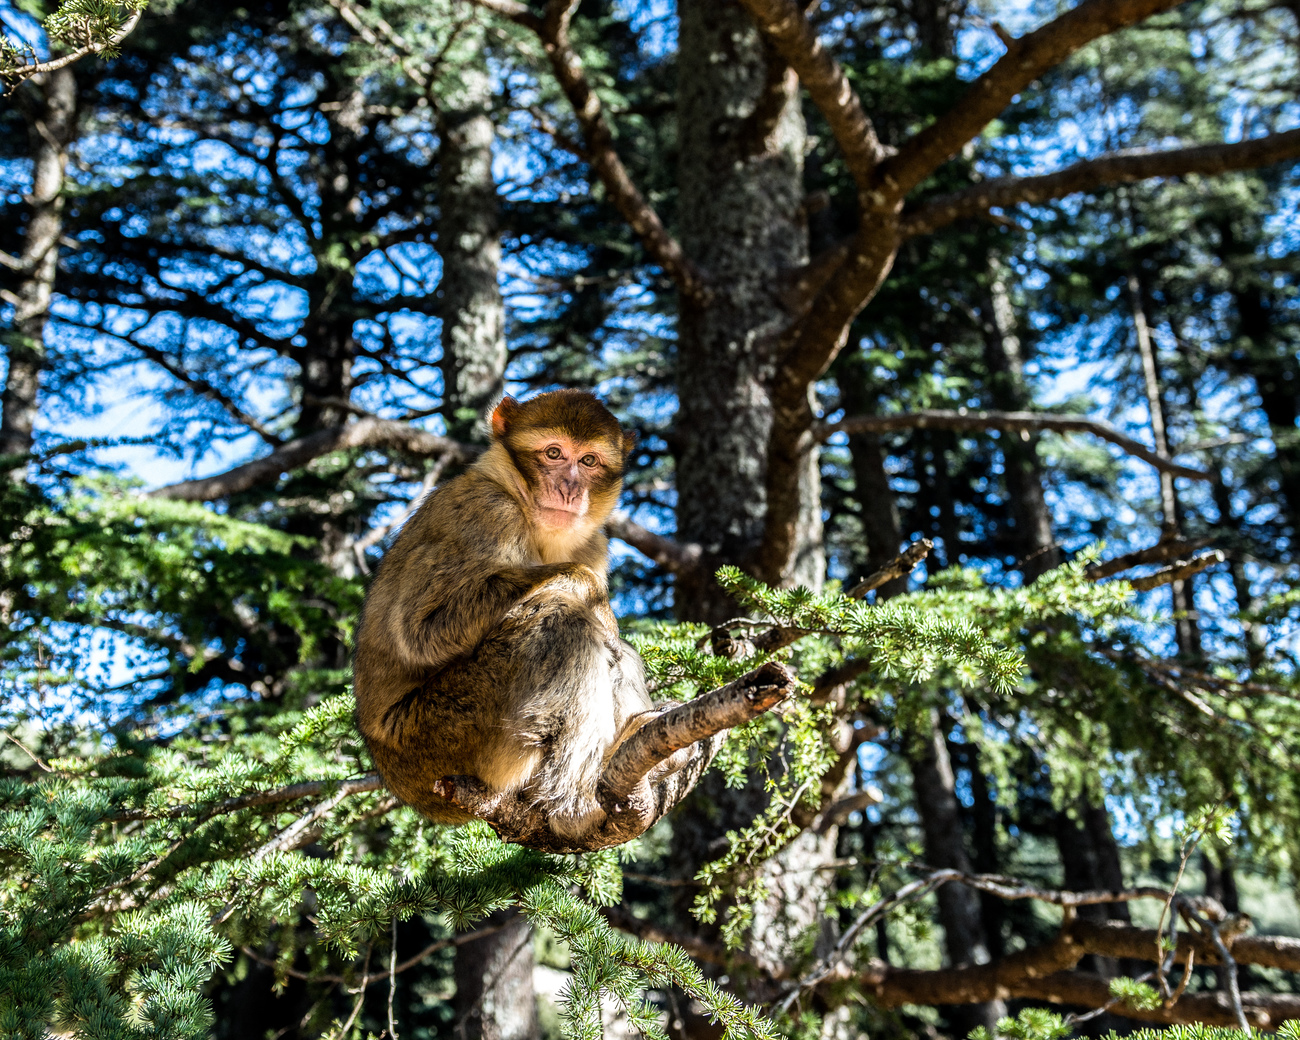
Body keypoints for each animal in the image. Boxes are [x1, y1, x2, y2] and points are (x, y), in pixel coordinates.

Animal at [353, 387, 660, 837]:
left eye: (588, 461)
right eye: (553, 453)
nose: (569, 488)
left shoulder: (595, 543)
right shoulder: (488, 513)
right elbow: (418, 633)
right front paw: (591, 591)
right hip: (439, 737)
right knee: (561, 618)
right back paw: (574, 806)